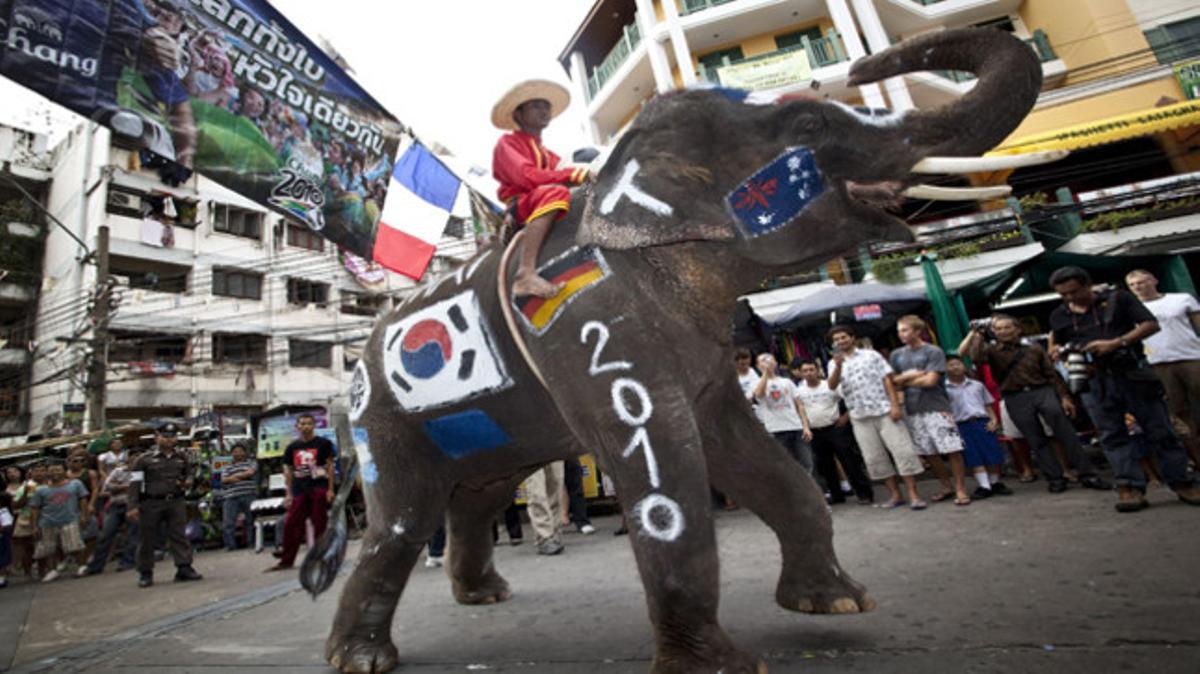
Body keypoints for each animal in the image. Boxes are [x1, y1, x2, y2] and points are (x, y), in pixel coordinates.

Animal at [324, 26, 1046, 671]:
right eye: (809, 124)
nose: (863, 64)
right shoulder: (591, 329)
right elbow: (662, 469)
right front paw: (723, 667)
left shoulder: (700, 350)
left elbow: (749, 453)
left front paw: (837, 604)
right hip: (380, 420)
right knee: (404, 519)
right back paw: (362, 657)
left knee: (480, 493)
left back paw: (483, 596)